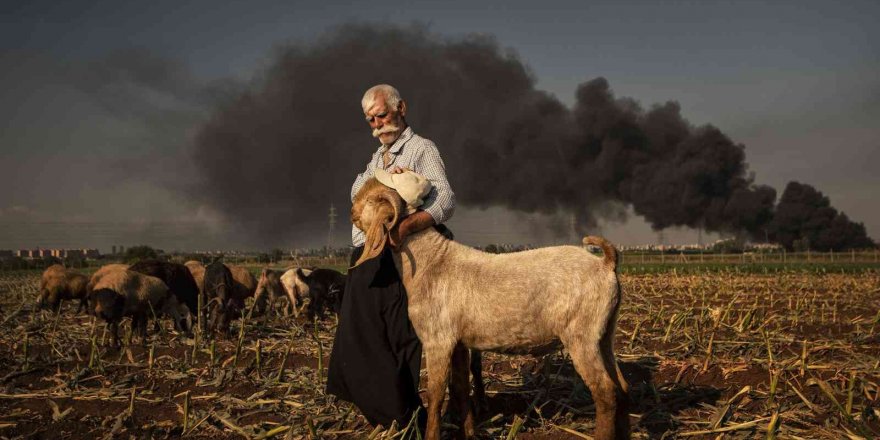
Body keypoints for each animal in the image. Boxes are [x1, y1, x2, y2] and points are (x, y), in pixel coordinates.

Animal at [348, 179, 628, 440]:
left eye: (371, 200)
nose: (351, 212)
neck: (431, 262)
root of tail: (606, 263)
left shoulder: (437, 340)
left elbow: (436, 394)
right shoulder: (458, 343)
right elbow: (461, 388)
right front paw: (470, 431)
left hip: (581, 336)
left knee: (605, 392)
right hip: (605, 333)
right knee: (622, 388)